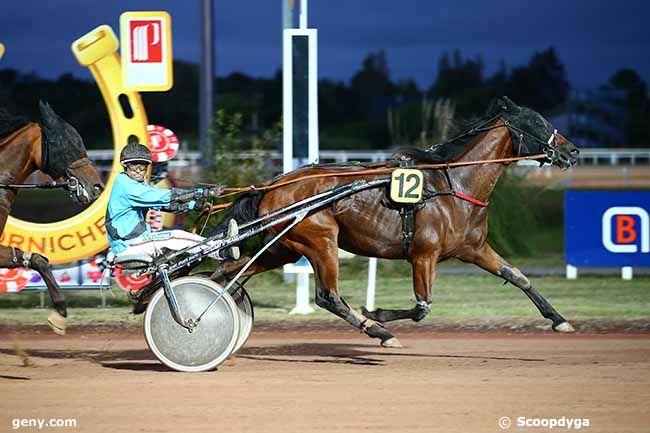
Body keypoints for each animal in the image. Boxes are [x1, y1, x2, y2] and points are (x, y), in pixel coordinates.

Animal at [215, 96, 580, 346]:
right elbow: (422, 307)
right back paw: (379, 331)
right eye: (538, 123)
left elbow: (518, 277)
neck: (455, 185)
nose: (573, 151)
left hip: (284, 247)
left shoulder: (472, 248)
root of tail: (271, 185)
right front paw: (376, 314)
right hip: (320, 241)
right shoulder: (423, 255)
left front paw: (559, 319)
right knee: (328, 296)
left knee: (232, 271)